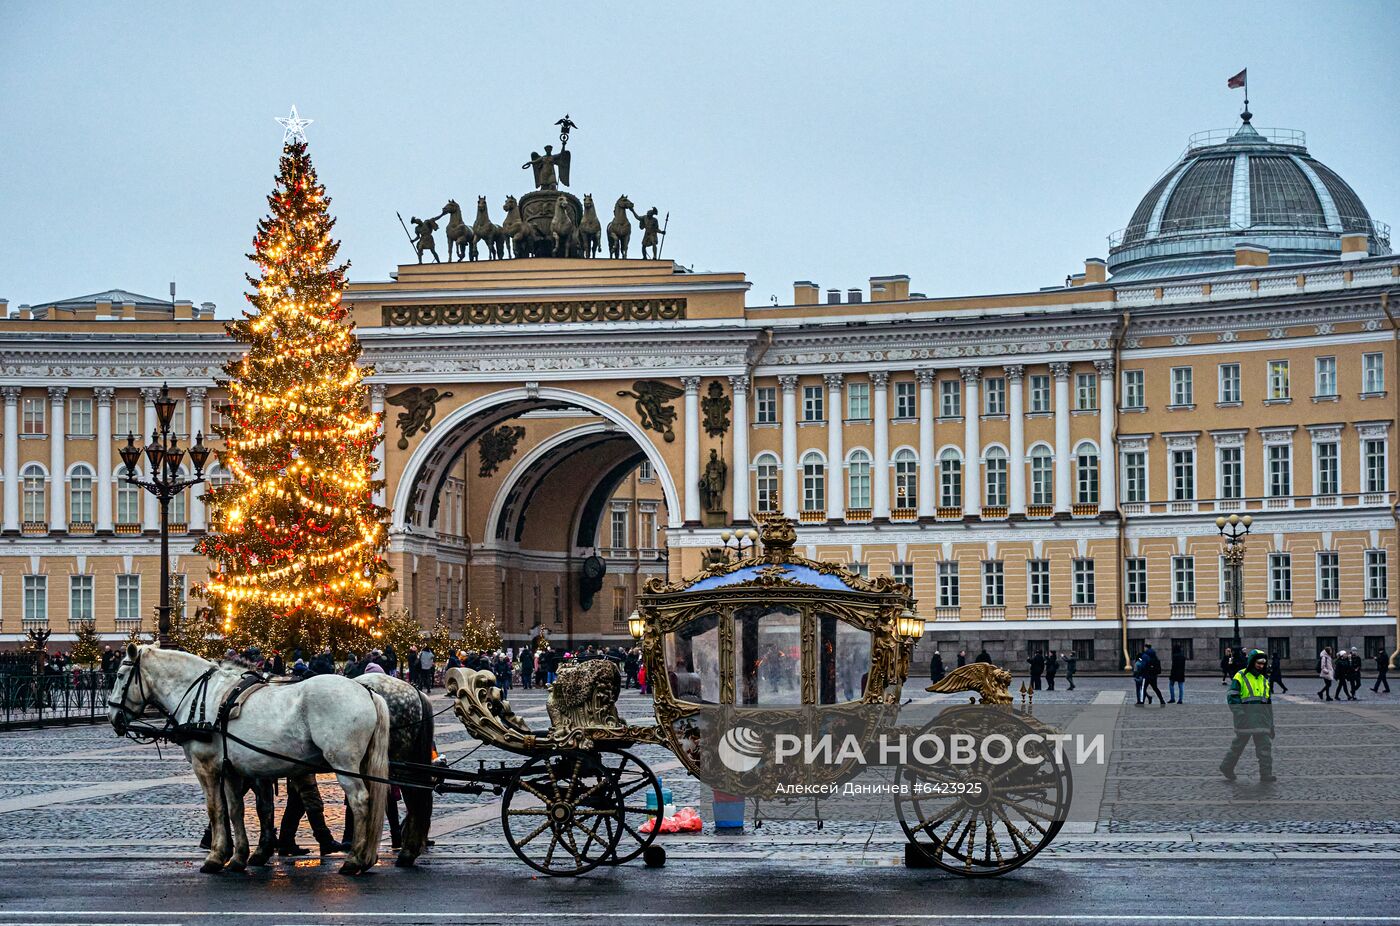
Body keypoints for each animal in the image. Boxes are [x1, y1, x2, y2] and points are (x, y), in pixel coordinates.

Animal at [107, 641, 389, 874]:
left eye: (120, 676)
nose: (113, 717)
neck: (204, 699)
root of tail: (366, 690)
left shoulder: (207, 767)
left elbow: (215, 809)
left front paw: (215, 857)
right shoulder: (232, 769)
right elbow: (236, 810)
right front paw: (238, 857)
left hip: (343, 763)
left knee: (360, 800)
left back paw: (354, 860)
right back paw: (365, 857)